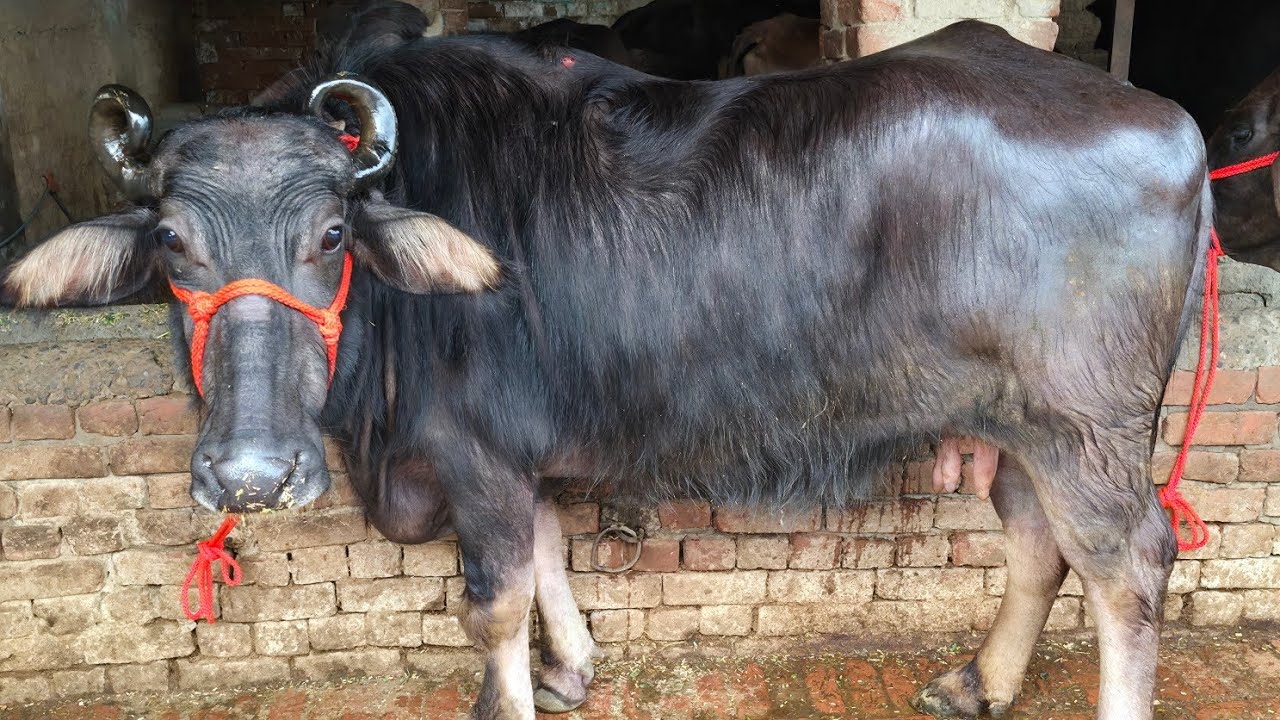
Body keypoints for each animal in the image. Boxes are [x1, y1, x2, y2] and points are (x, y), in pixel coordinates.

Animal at [3, 17, 1209, 720]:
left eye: (332, 235)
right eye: (172, 245)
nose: (251, 474)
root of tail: (1172, 127)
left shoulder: (476, 458)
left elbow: (492, 603)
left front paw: (509, 694)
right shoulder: (516, 455)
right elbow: (547, 555)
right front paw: (571, 670)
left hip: (1087, 431)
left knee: (1127, 568)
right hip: (1021, 428)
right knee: (1037, 545)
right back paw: (976, 681)